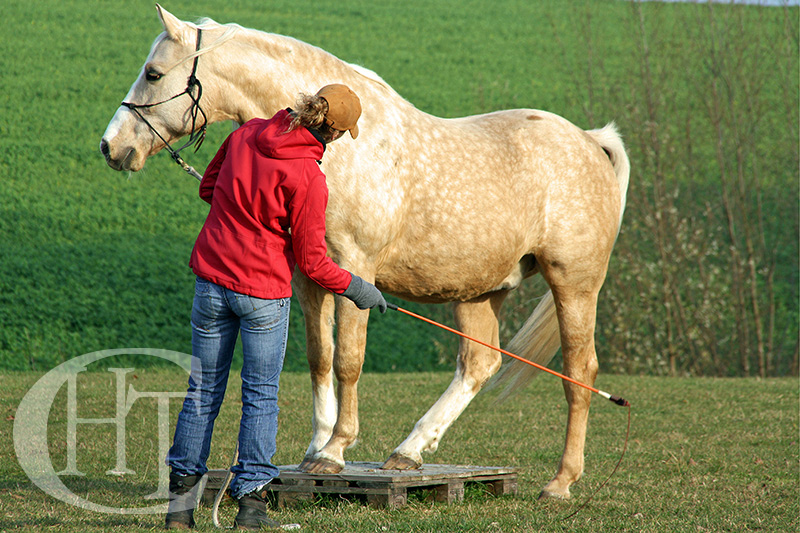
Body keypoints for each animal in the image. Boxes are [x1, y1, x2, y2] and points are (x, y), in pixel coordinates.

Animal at [100, 5, 630, 500]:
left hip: (574, 285)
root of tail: (590, 141)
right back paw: (408, 453)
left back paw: (561, 482)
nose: (111, 146)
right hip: (481, 290)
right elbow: (320, 356)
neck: (341, 154)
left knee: (579, 374)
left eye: (153, 73)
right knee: (478, 365)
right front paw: (316, 447)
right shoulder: (311, 276)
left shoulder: (356, 269)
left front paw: (335, 450)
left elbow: (349, 361)